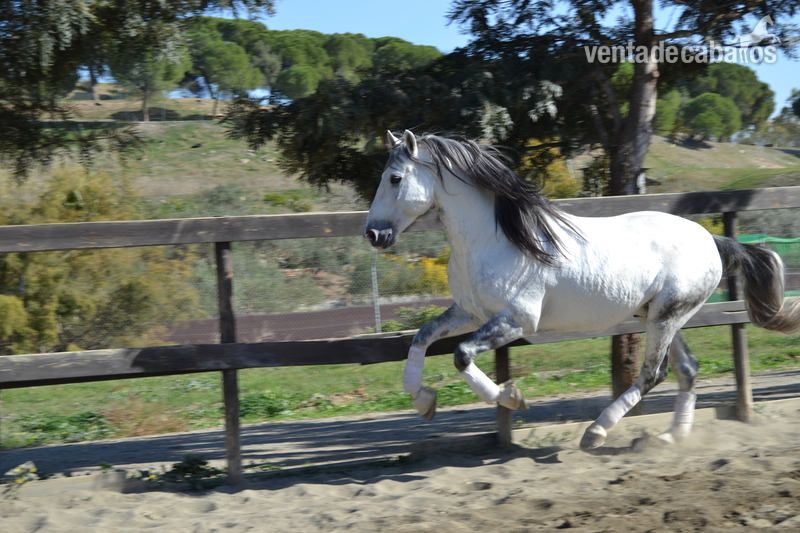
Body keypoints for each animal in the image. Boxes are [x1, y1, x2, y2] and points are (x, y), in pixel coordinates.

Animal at [364, 130, 800, 449]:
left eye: (395, 178)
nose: (373, 234)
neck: (494, 239)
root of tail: (711, 239)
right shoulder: (470, 312)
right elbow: (421, 337)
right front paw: (423, 401)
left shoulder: (517, 320)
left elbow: (461, 354)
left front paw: (512, 396)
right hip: (660, 315)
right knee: (687, 370)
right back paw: (668, 436)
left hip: (667, 316)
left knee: (652, 373)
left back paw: (597, 431)